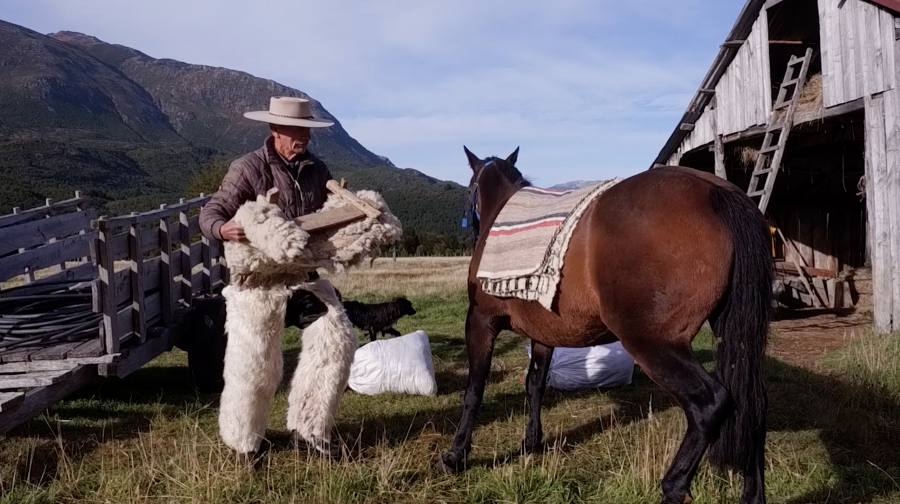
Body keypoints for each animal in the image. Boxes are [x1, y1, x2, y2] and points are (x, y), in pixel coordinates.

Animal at [438, 147, 772, 504]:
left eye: (469, 190)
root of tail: (714, 190)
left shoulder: (479, 322)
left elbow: (474, 390)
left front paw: (456, 455)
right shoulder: (543, 335)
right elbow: (535, 385)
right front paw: (531, 442)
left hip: (653, 345)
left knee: (710, 404)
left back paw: (673, 485)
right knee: (752, 402)